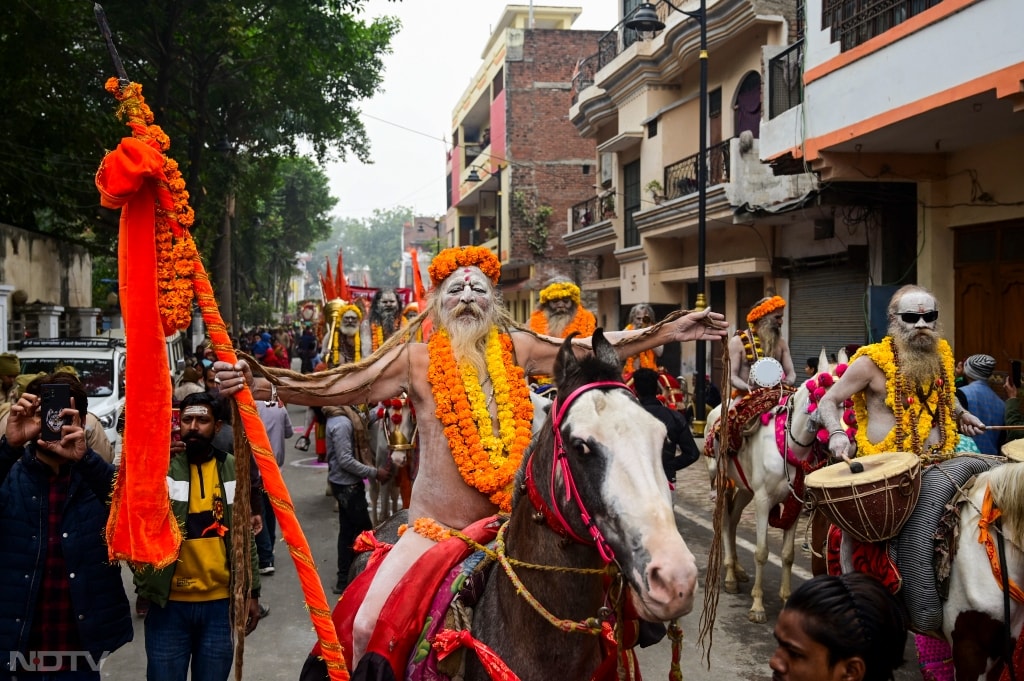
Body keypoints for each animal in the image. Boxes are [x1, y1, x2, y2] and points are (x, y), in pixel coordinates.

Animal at [704, 350, 839, 622]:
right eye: (826, 395)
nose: (851, 441)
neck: (789, 443)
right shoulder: (763, 500)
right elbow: (762, 552)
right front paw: (757, 606)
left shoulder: (795, 501)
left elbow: (787, 555)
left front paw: (786, 599)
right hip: (724, 482)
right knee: (724, 521)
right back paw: (731, 576)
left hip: (746, 490)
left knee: (733, 520)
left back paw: (737, 569)